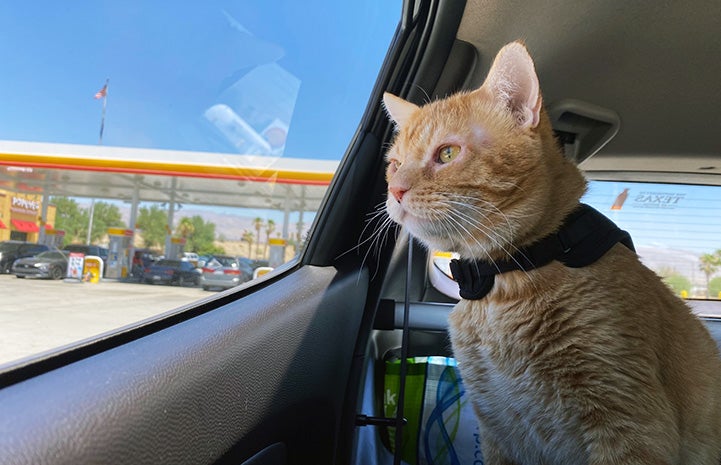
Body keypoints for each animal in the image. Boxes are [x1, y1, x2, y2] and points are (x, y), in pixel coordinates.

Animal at [386, 40, 720, 464]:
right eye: (394, 164)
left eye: (446, 154)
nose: (395, 190)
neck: (503, 278)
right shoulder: (497, 429)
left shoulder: (632, 427)